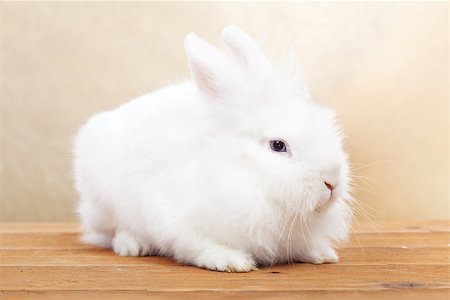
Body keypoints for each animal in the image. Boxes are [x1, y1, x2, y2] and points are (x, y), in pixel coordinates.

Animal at [74, 26, 354, 272]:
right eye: (278, 145)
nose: (332, 182)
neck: (245, 174)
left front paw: (323, 254)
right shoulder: (173, 219)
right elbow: (196, 246)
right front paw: (231, 261)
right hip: (105, 204)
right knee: (113, 232)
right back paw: (133, 246)